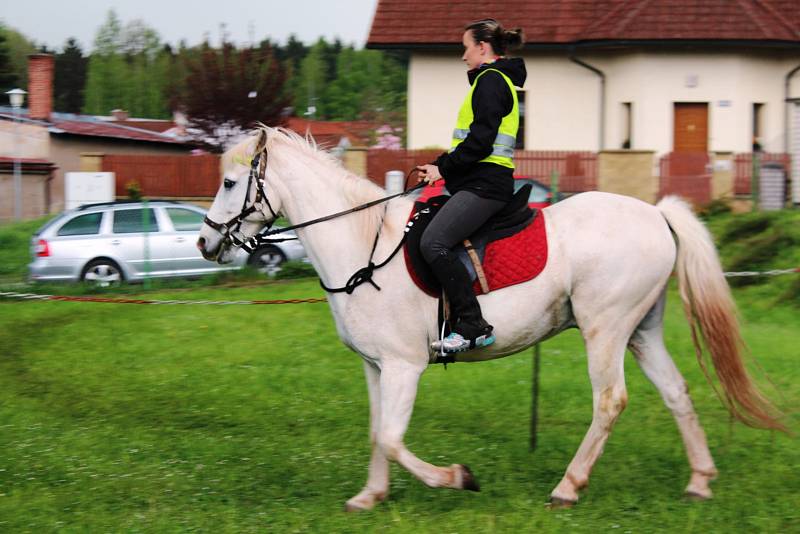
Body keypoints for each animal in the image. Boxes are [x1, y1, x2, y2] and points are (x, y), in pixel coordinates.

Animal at [198, 127, 780, 512]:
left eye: (229, 183)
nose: (205, 242)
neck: (364, 246)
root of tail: (656, 213)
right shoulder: (376, 366)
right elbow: (377, 432)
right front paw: (370, 495)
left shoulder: (405, 366)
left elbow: (393, 437)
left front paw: (457, 478)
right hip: (641, 331)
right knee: (677, 392)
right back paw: (700, 480)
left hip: (606, 329)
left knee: (610, 401)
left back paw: (568, 486)